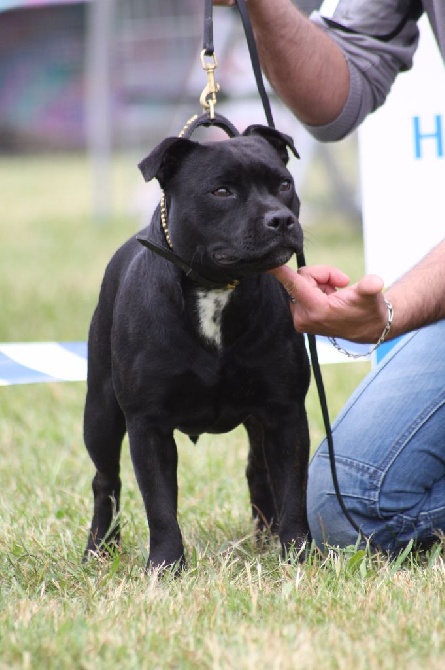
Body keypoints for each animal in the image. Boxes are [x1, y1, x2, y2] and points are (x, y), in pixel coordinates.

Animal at [85, 124, 310, 572]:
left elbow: (293, 492)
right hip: (99, 412)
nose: (281, 219)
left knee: (259, 472)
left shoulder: (286, 412)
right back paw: (99, 548)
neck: (216, 287)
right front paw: (165, 566)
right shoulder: (148, 423)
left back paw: (266, 539)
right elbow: (159, 504)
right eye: (221, 191)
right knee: (106, 479)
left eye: (283, 184)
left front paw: (299, 556)